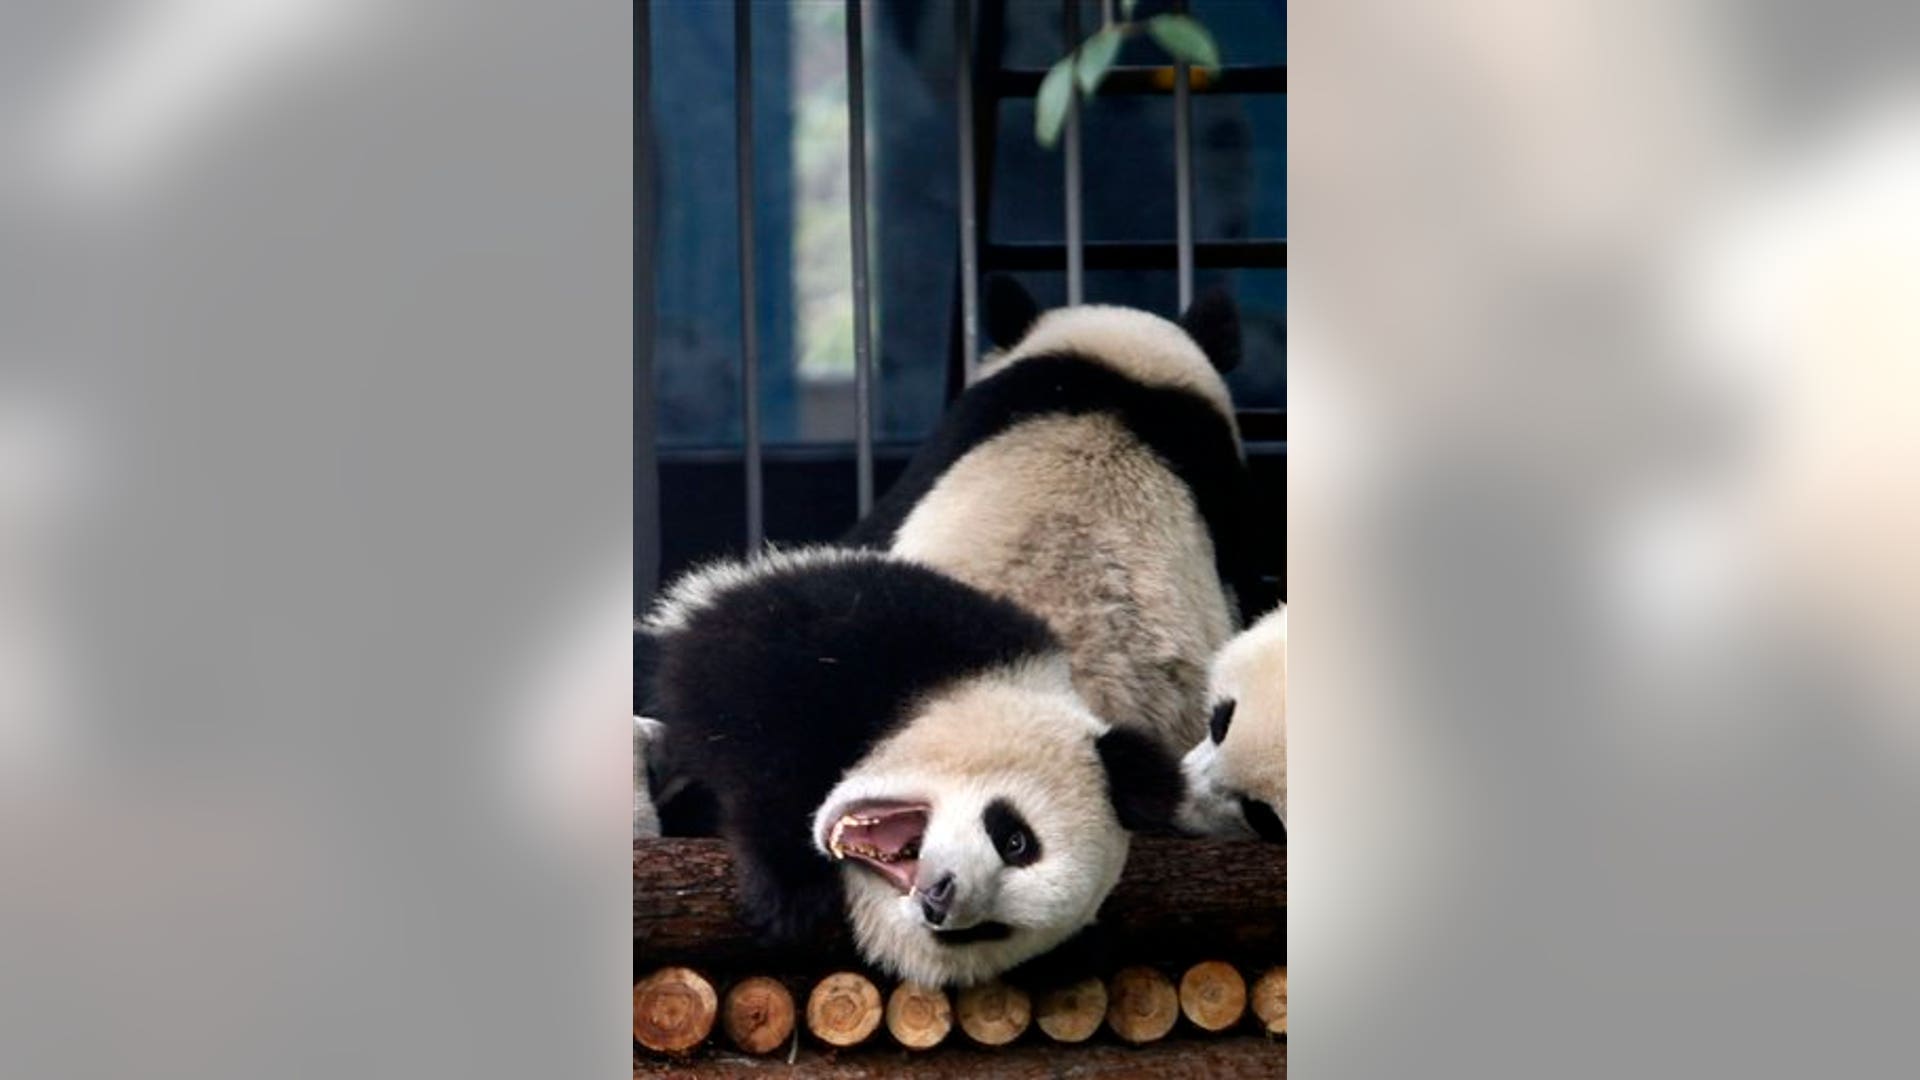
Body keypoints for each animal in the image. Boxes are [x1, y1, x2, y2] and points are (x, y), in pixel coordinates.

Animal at [637, 546, 1183, 987]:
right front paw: (790, 892)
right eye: (1016, 840)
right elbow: (746, 693)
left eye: (990, 930)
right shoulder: (907, 626)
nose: (939, 899)